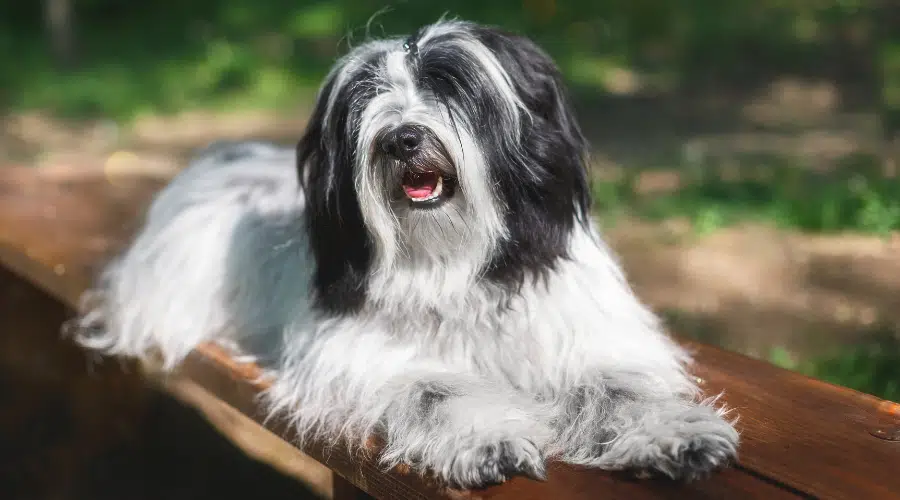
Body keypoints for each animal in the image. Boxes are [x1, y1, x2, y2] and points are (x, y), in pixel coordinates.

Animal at [72, 18, 740, 488]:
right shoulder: (357, 352)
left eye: (451, 84)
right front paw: (488, 439)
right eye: (367, 96)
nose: (402, 137)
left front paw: (674, 434)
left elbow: (620, 387)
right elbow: (433, 388)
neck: (458, 263)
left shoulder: (581, 333)